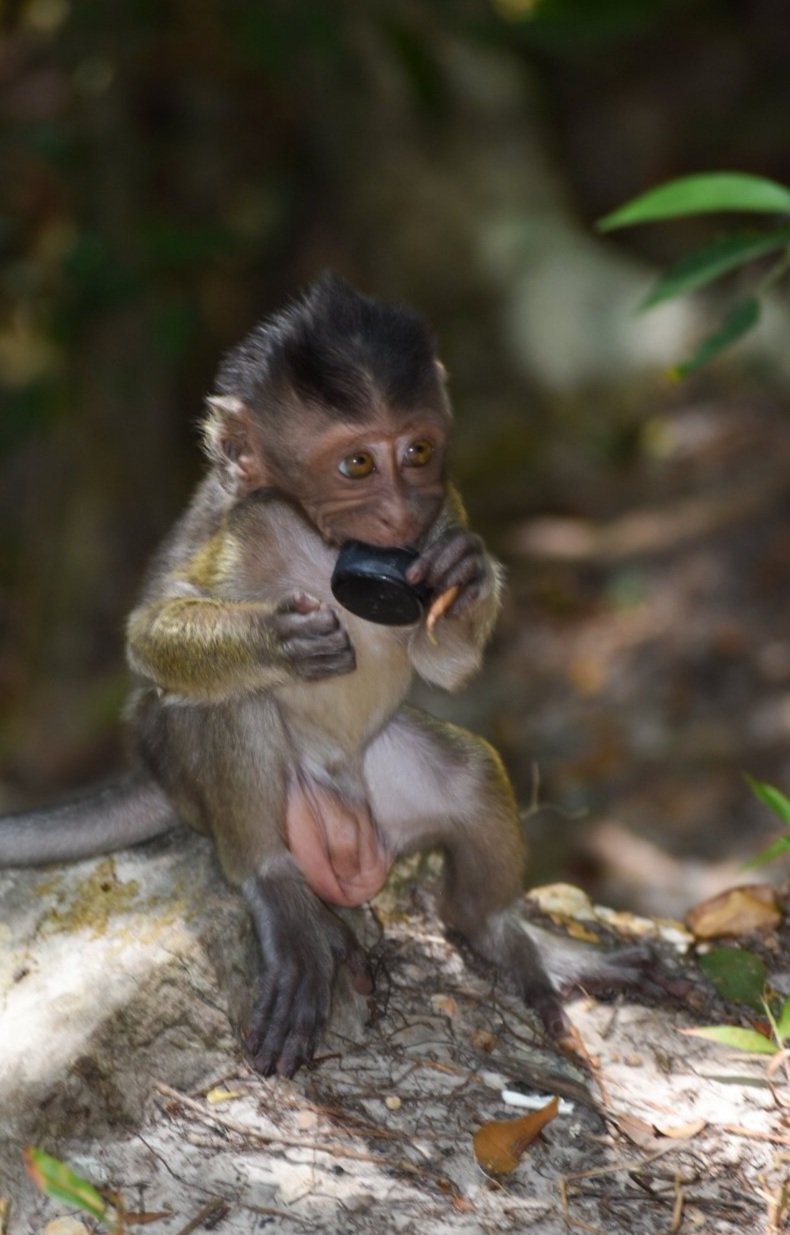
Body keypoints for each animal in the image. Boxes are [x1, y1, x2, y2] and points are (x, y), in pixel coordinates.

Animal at [0, 274, 660, 1077]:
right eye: (357, 465)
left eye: (418, 451)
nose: (401, 507)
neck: (322, 544)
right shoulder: (248, 526)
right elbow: (150, 634)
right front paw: (273, 639)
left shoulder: (447, 509)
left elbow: (447, 662)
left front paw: (468, 574)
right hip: (225, 786)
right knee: (223, 705)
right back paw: (279, 892)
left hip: (387, 784)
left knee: (469, 778)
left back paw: (502, 933)